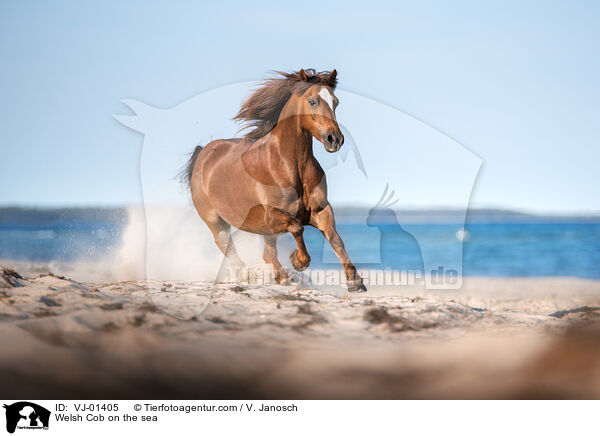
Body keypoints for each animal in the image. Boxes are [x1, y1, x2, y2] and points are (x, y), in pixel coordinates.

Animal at [182, 68, 366, 292]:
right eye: (312, 101)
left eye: (335, 102)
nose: (335, 139)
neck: (289, 166)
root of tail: (203, 153)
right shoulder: (271, 216)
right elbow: (297, 227)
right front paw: (297, 261)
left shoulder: (320, 210)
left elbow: (335, 239)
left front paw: (354, 280)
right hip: (216, 223)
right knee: (233, 253)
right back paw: (273, 276)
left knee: (265, 254)